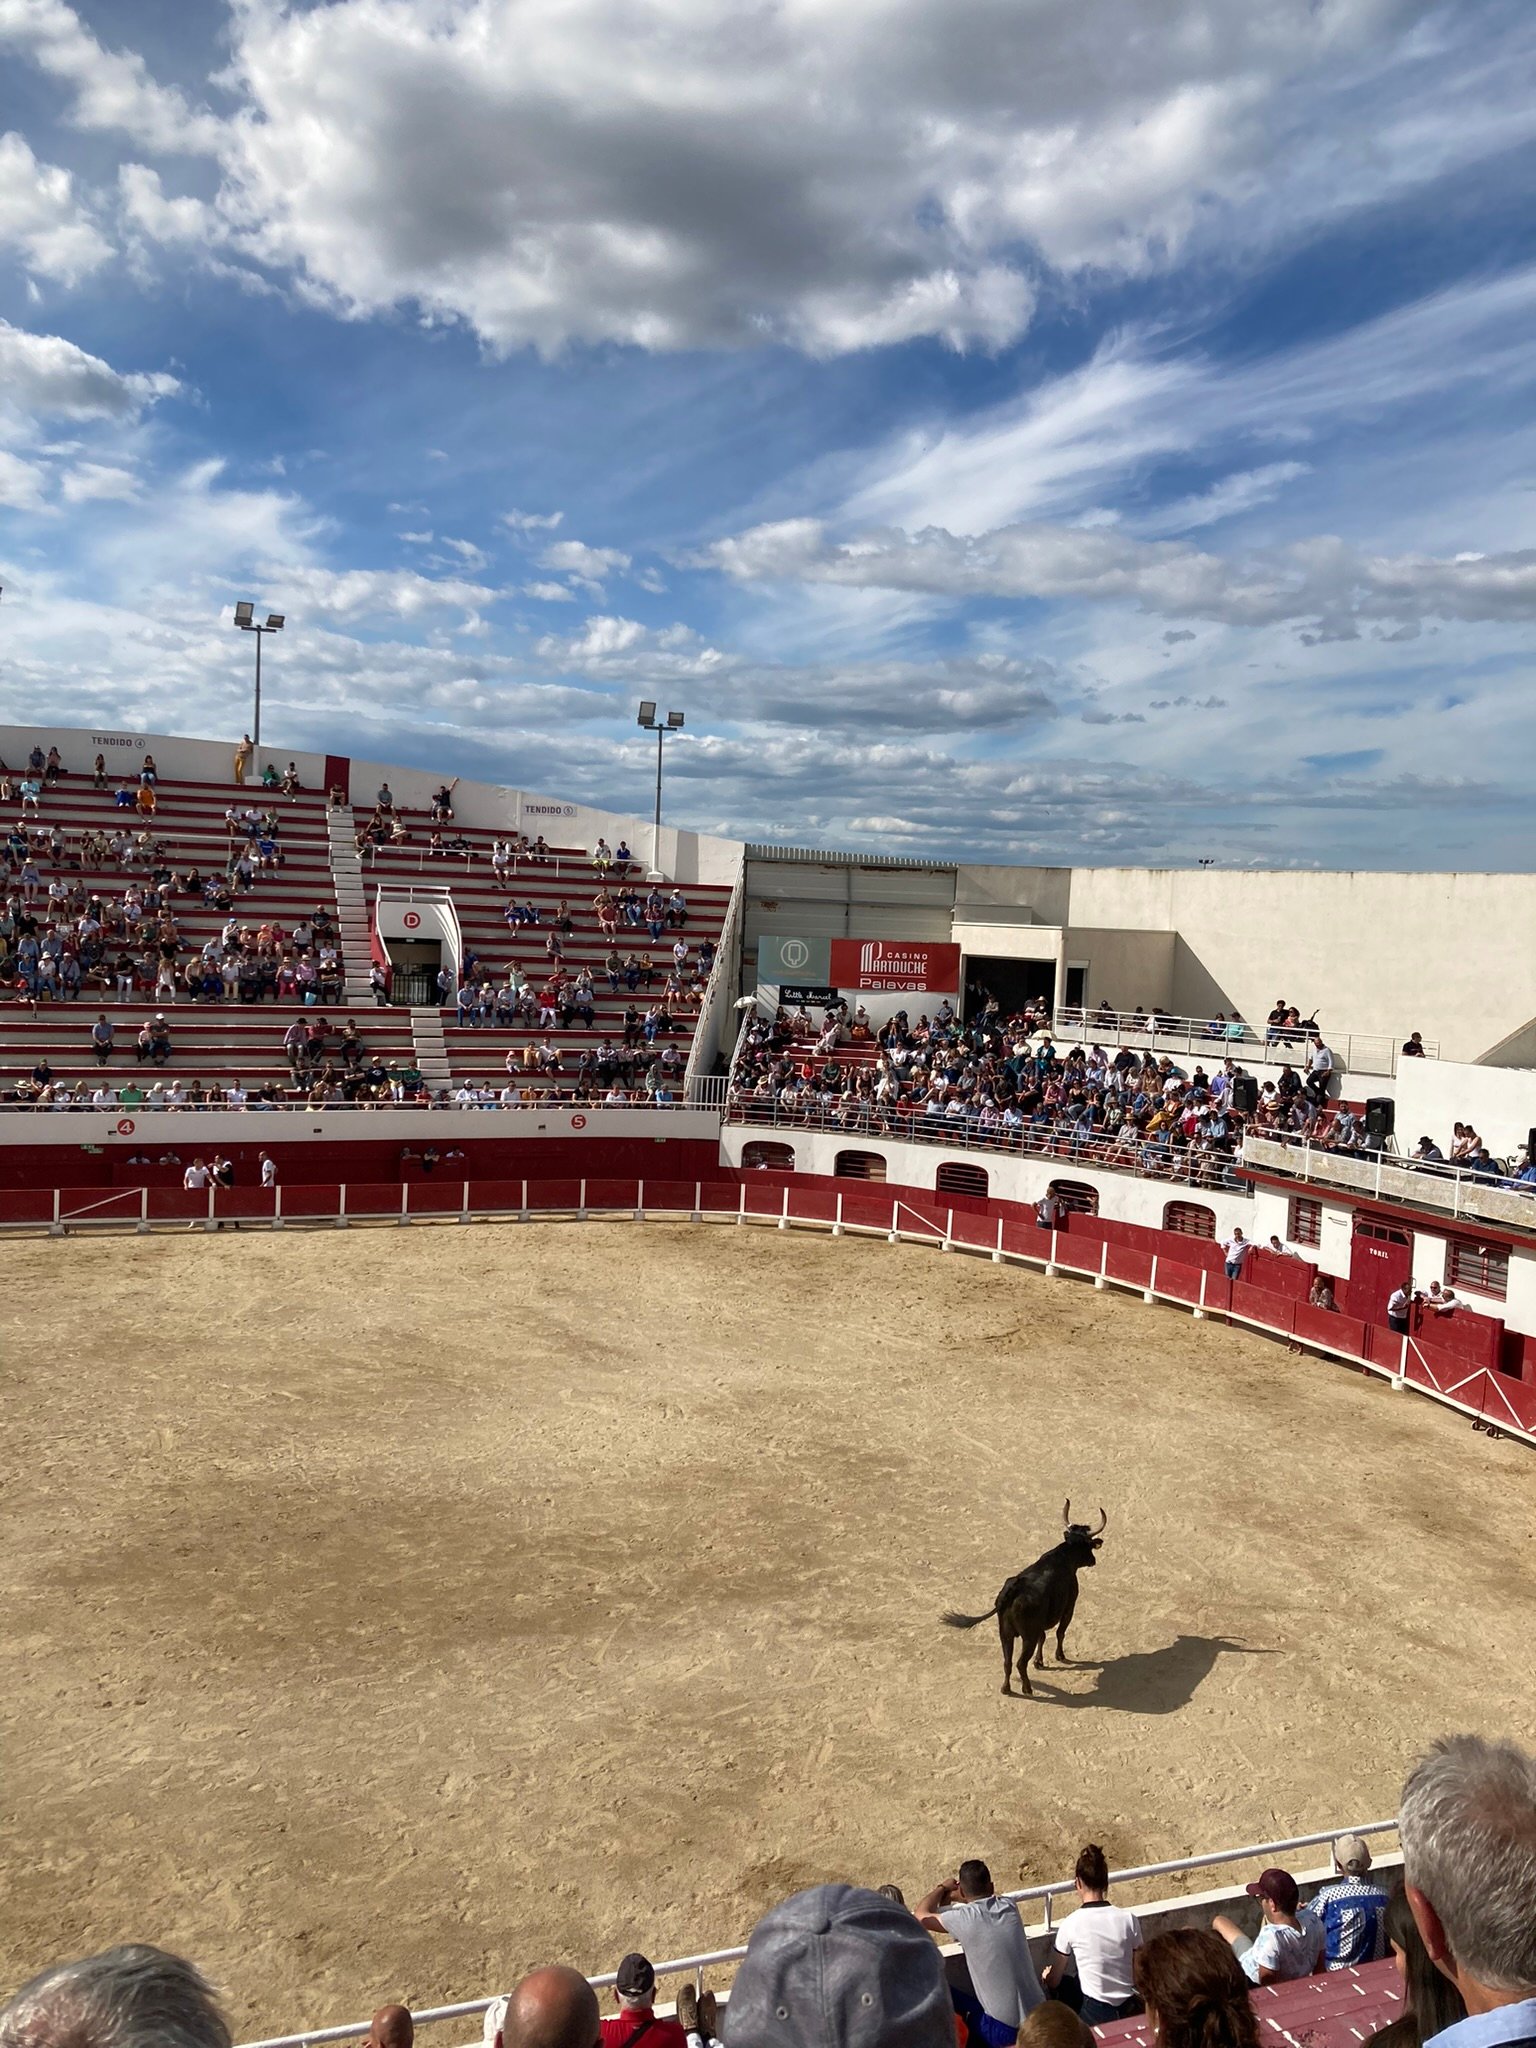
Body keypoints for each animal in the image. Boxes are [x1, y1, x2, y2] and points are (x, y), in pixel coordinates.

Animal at [946, 1507, 1114, 1695]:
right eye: (1089, 1544)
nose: (1093, 1560)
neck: (1064, 1557)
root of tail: (1013, 1591)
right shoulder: (1069, 1607)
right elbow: (1060, 1633)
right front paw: (1059, 1656)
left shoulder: (1039, 1624)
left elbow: (1043, 1637)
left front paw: (1039, 1662)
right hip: (1027, 1637)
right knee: (1020, 1663)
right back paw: (1027, 1688)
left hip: (1005, 1634)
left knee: (1007, 1662)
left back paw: (1006, 1688)